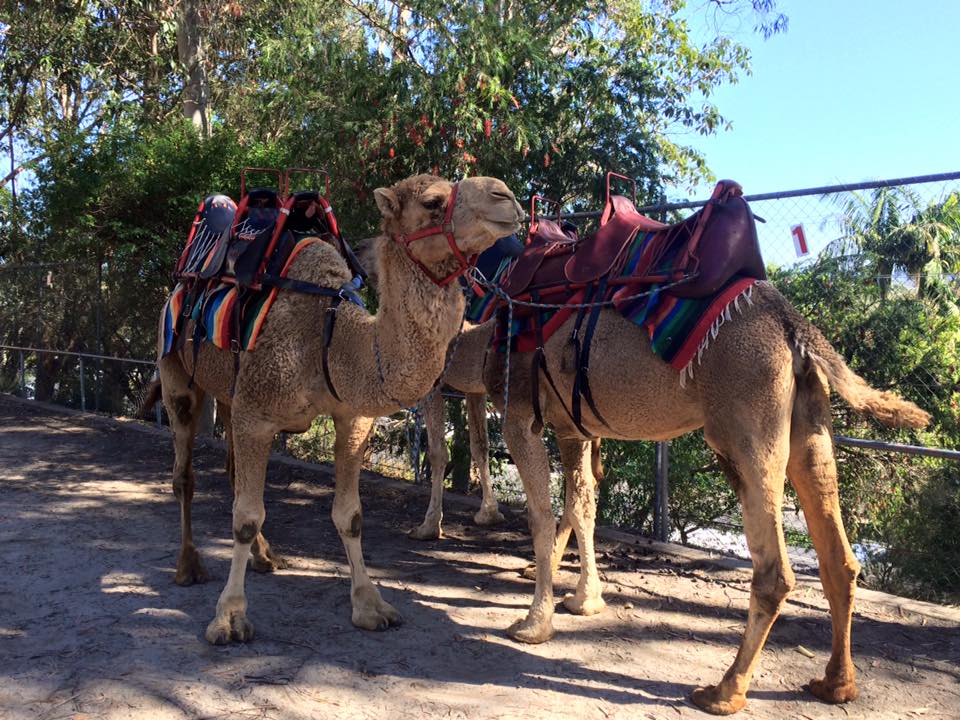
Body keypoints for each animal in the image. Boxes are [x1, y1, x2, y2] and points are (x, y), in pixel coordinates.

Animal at [150, 173, 520, 640]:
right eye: (433, 202)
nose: (505, 195)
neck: (328, 337)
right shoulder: (257, 414)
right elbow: (245, 516)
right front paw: (230, 617)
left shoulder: (351, 416)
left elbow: (351, 516)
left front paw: (370, 605)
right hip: (176, 371)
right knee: (184, 475)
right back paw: (188, 566)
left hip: (230, 394)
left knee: (232, 472)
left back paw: (266, 558)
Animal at [484, 280, 932, 716]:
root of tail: (794, 326)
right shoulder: (571, 425)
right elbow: (581, 505)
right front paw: (582, 600)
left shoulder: (519, 409)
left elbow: (542, 514)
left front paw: (533, 625)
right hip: (811, 422)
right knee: (839, 558)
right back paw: (835, 685)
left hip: (744, 424)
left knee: (774, 571)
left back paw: (724, 692)